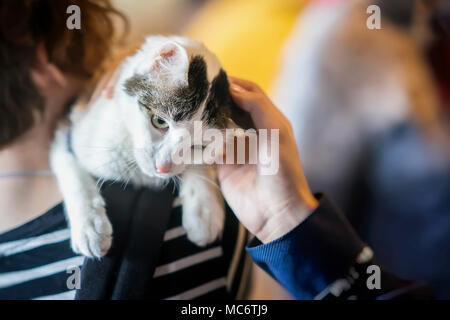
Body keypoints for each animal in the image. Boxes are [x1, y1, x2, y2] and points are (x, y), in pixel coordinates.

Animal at [51, 36, 236, 258]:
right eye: (159, 121)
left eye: (199, 146)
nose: (162, 167)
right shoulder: (67, 129)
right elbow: (72, 173)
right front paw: (90, 227)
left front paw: (204, 208)